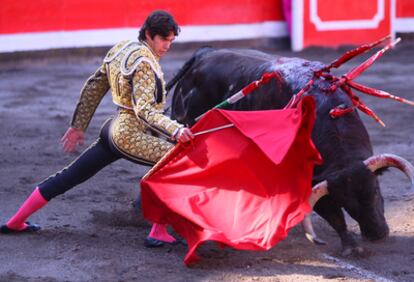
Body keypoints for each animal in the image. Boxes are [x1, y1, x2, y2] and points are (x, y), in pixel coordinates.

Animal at [166, 37, 414, 256]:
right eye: (346, 203)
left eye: (375, 190)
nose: (377, 234)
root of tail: (204, 54)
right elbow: (333, 215)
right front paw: (351, 246)